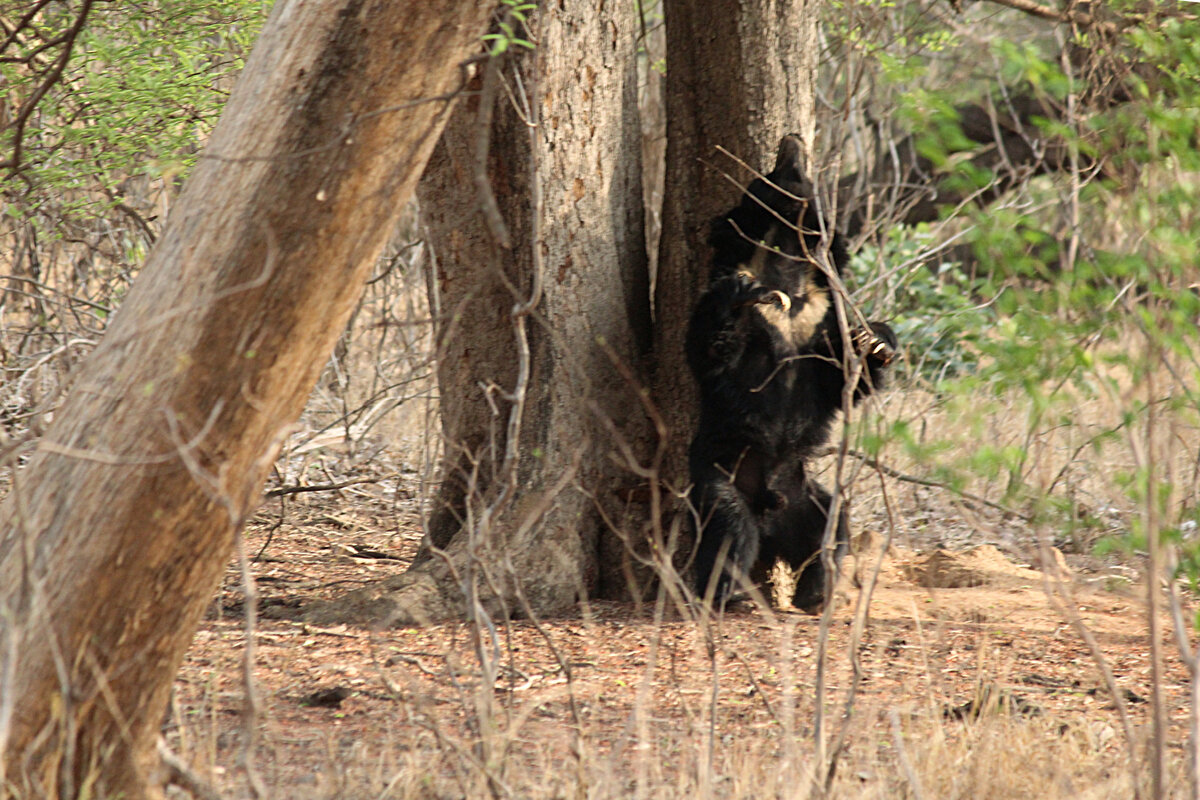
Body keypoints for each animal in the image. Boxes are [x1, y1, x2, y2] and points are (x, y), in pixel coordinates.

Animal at [691, 137, 897, 614]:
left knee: (828, 531)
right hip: (720, 476)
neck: (783, 264)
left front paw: (875, 342)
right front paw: (737, 298)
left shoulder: (823, 314)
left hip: (808, 497)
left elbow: (841, 379)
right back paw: (725, 594)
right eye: (768, 174)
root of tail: (772, 507)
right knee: (729, 531)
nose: (792, 140)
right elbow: (710, 348)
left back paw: (815, 594)